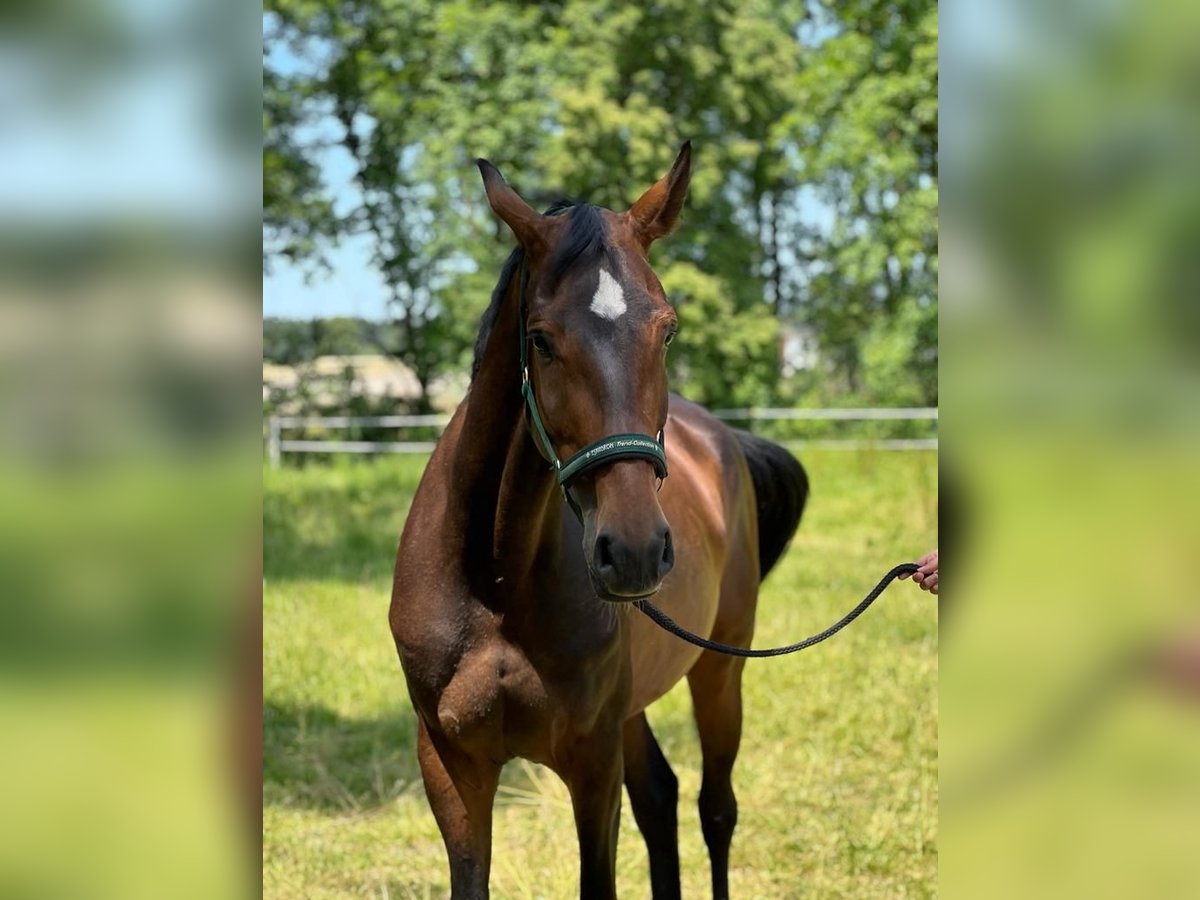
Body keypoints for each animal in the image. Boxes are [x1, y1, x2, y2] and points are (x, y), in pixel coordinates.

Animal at [388, 144, 811, 897]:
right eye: (541, 340)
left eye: (667, 330)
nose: (635, 550)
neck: (495, 583)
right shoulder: (450, 765)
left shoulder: (591, 761)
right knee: (661, 798)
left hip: (719, 671)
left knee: (716, 810)